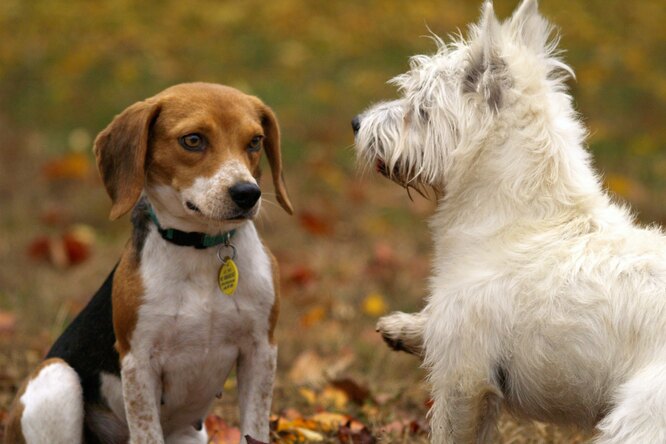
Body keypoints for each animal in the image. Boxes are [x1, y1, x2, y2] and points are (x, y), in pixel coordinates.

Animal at [4, 81, 290, 442]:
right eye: (192, 140)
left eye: (255, 141)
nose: (247, 194)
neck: (200, 249)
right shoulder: (138, 362)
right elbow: (147, 430)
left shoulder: (261, 350)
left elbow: (255, 427)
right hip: (57, 376)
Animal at [350, 1, 664, 442]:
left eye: (421, 107)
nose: (356, 123)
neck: (523, 222)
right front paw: (405, 328)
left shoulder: (465, 378)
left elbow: (448, 430)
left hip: (639, 418)